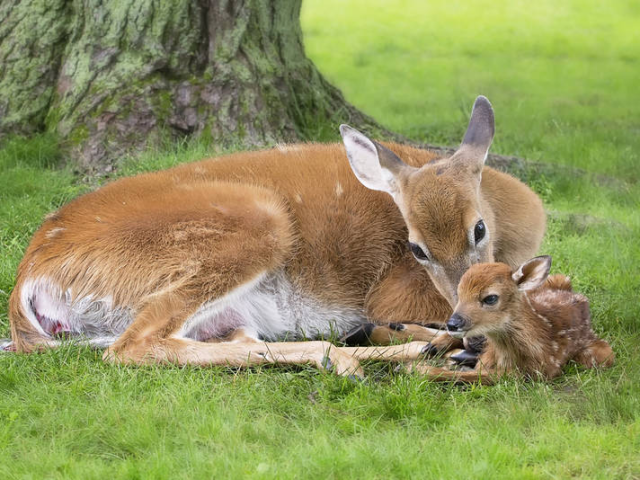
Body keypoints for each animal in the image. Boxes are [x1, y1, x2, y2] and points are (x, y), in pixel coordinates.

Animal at [6, 97, 544, 376]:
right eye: (416, 248)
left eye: (478, 229)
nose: (464, 324)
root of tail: (28, 276)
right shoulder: (392, 290)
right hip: (256, 225)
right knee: (133, 345)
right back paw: (367, 356)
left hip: (228, 308)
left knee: (228, 339)